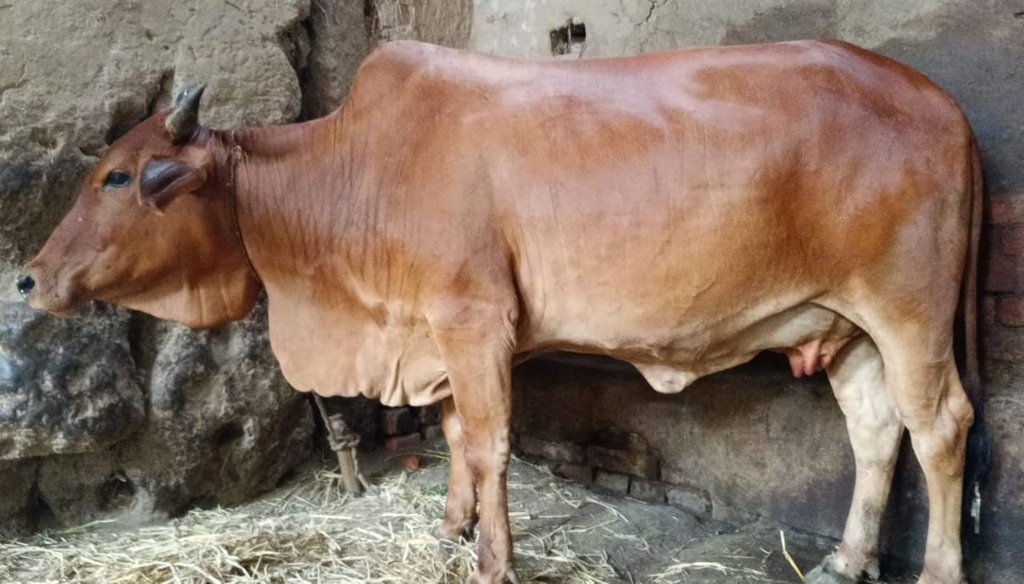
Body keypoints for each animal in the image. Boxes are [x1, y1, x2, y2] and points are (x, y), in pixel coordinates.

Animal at [18, 39, 982, 584]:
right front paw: (452, 527)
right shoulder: (438, 335)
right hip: (844, 325)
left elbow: (489, 446)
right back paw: (846, 559)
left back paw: (937, 572)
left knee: (940, 427)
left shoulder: (474, 322)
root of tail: (943, 102)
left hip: (908, 311)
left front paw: (493, 561)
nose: (28, 279)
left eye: (117, 176)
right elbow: (452, 438)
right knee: (875, 431)